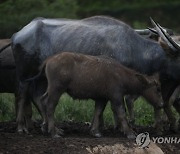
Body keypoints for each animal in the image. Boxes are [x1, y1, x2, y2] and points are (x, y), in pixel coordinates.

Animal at [11, 15, 180, 134]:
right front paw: (120, 128)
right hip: (24, 74)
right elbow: (115, 107)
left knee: (38, 97)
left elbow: (102, 106)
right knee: (22, 96)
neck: (134, 48)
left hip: (41, 77)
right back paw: (21, 127)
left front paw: (100, 127)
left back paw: (47, 126)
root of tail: (17, 35)